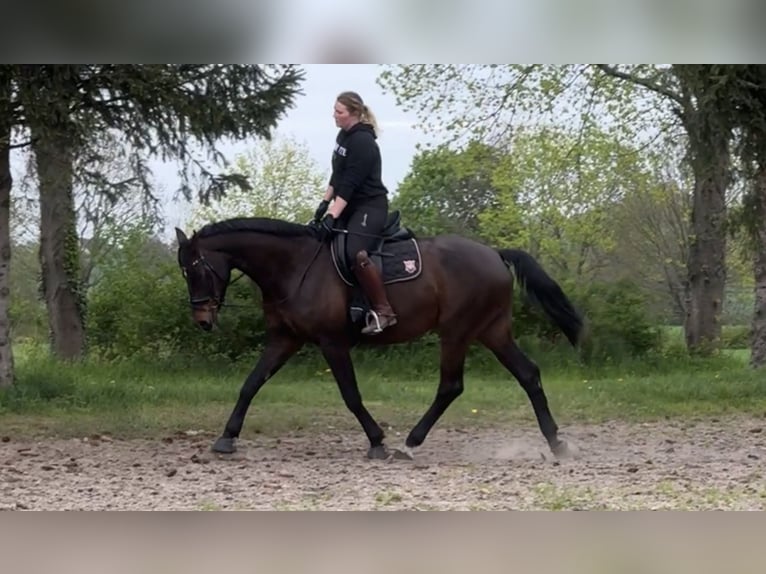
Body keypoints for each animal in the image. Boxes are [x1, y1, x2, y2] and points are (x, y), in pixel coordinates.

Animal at [174, 211, 584, 460]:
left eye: (196, 268)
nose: (203, 320)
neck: (293, 267)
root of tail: (495, 254)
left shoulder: (332, 343)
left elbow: (351, 396)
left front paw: (376, 441)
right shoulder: (284, 340)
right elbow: (251, 384)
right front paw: (227, 438)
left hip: (457, 331)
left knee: (451, 386)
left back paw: (410, 443)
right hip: (491, 330)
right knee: (528, 374)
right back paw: (556, 442)